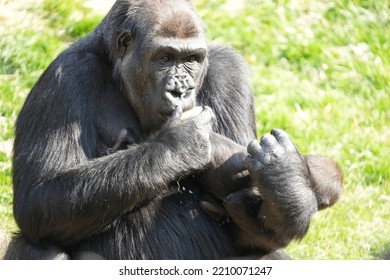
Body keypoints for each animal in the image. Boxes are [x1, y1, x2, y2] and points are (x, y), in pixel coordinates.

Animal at [5, 0, 342, 260]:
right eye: (165, 58)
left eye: (191, 59)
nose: (181, 90)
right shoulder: (64, 78)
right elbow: (39, 198)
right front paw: (179, 145)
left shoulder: (229, 70)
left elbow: (248, 218)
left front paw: (284, 181)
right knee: (41, 247)